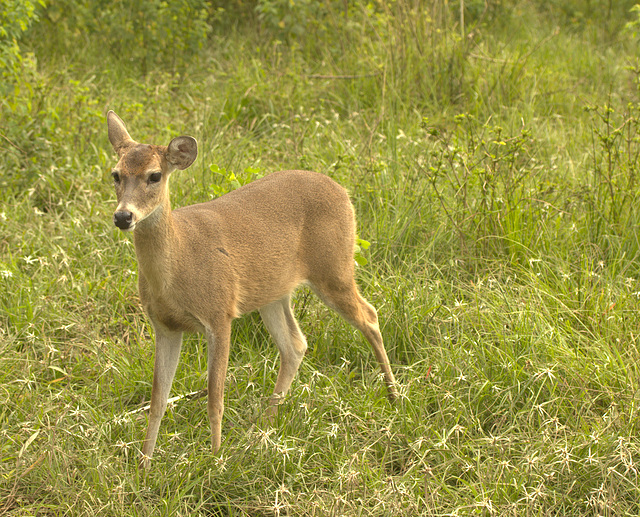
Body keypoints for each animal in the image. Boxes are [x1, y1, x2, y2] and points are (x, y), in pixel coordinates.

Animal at [107, 111, 398, 466]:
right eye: (116, 174)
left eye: (155, 175)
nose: (124, 216)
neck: (178, 264)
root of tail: (343, 191)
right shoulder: (164, 326)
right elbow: (158, 401)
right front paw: (143, 465)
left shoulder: (219, 312)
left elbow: (215, 398)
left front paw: (215, 459)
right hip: (273, 292)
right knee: (295, 344)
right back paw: (263, 429)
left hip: (334, 267)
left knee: (369, 315)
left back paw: (394, 397)